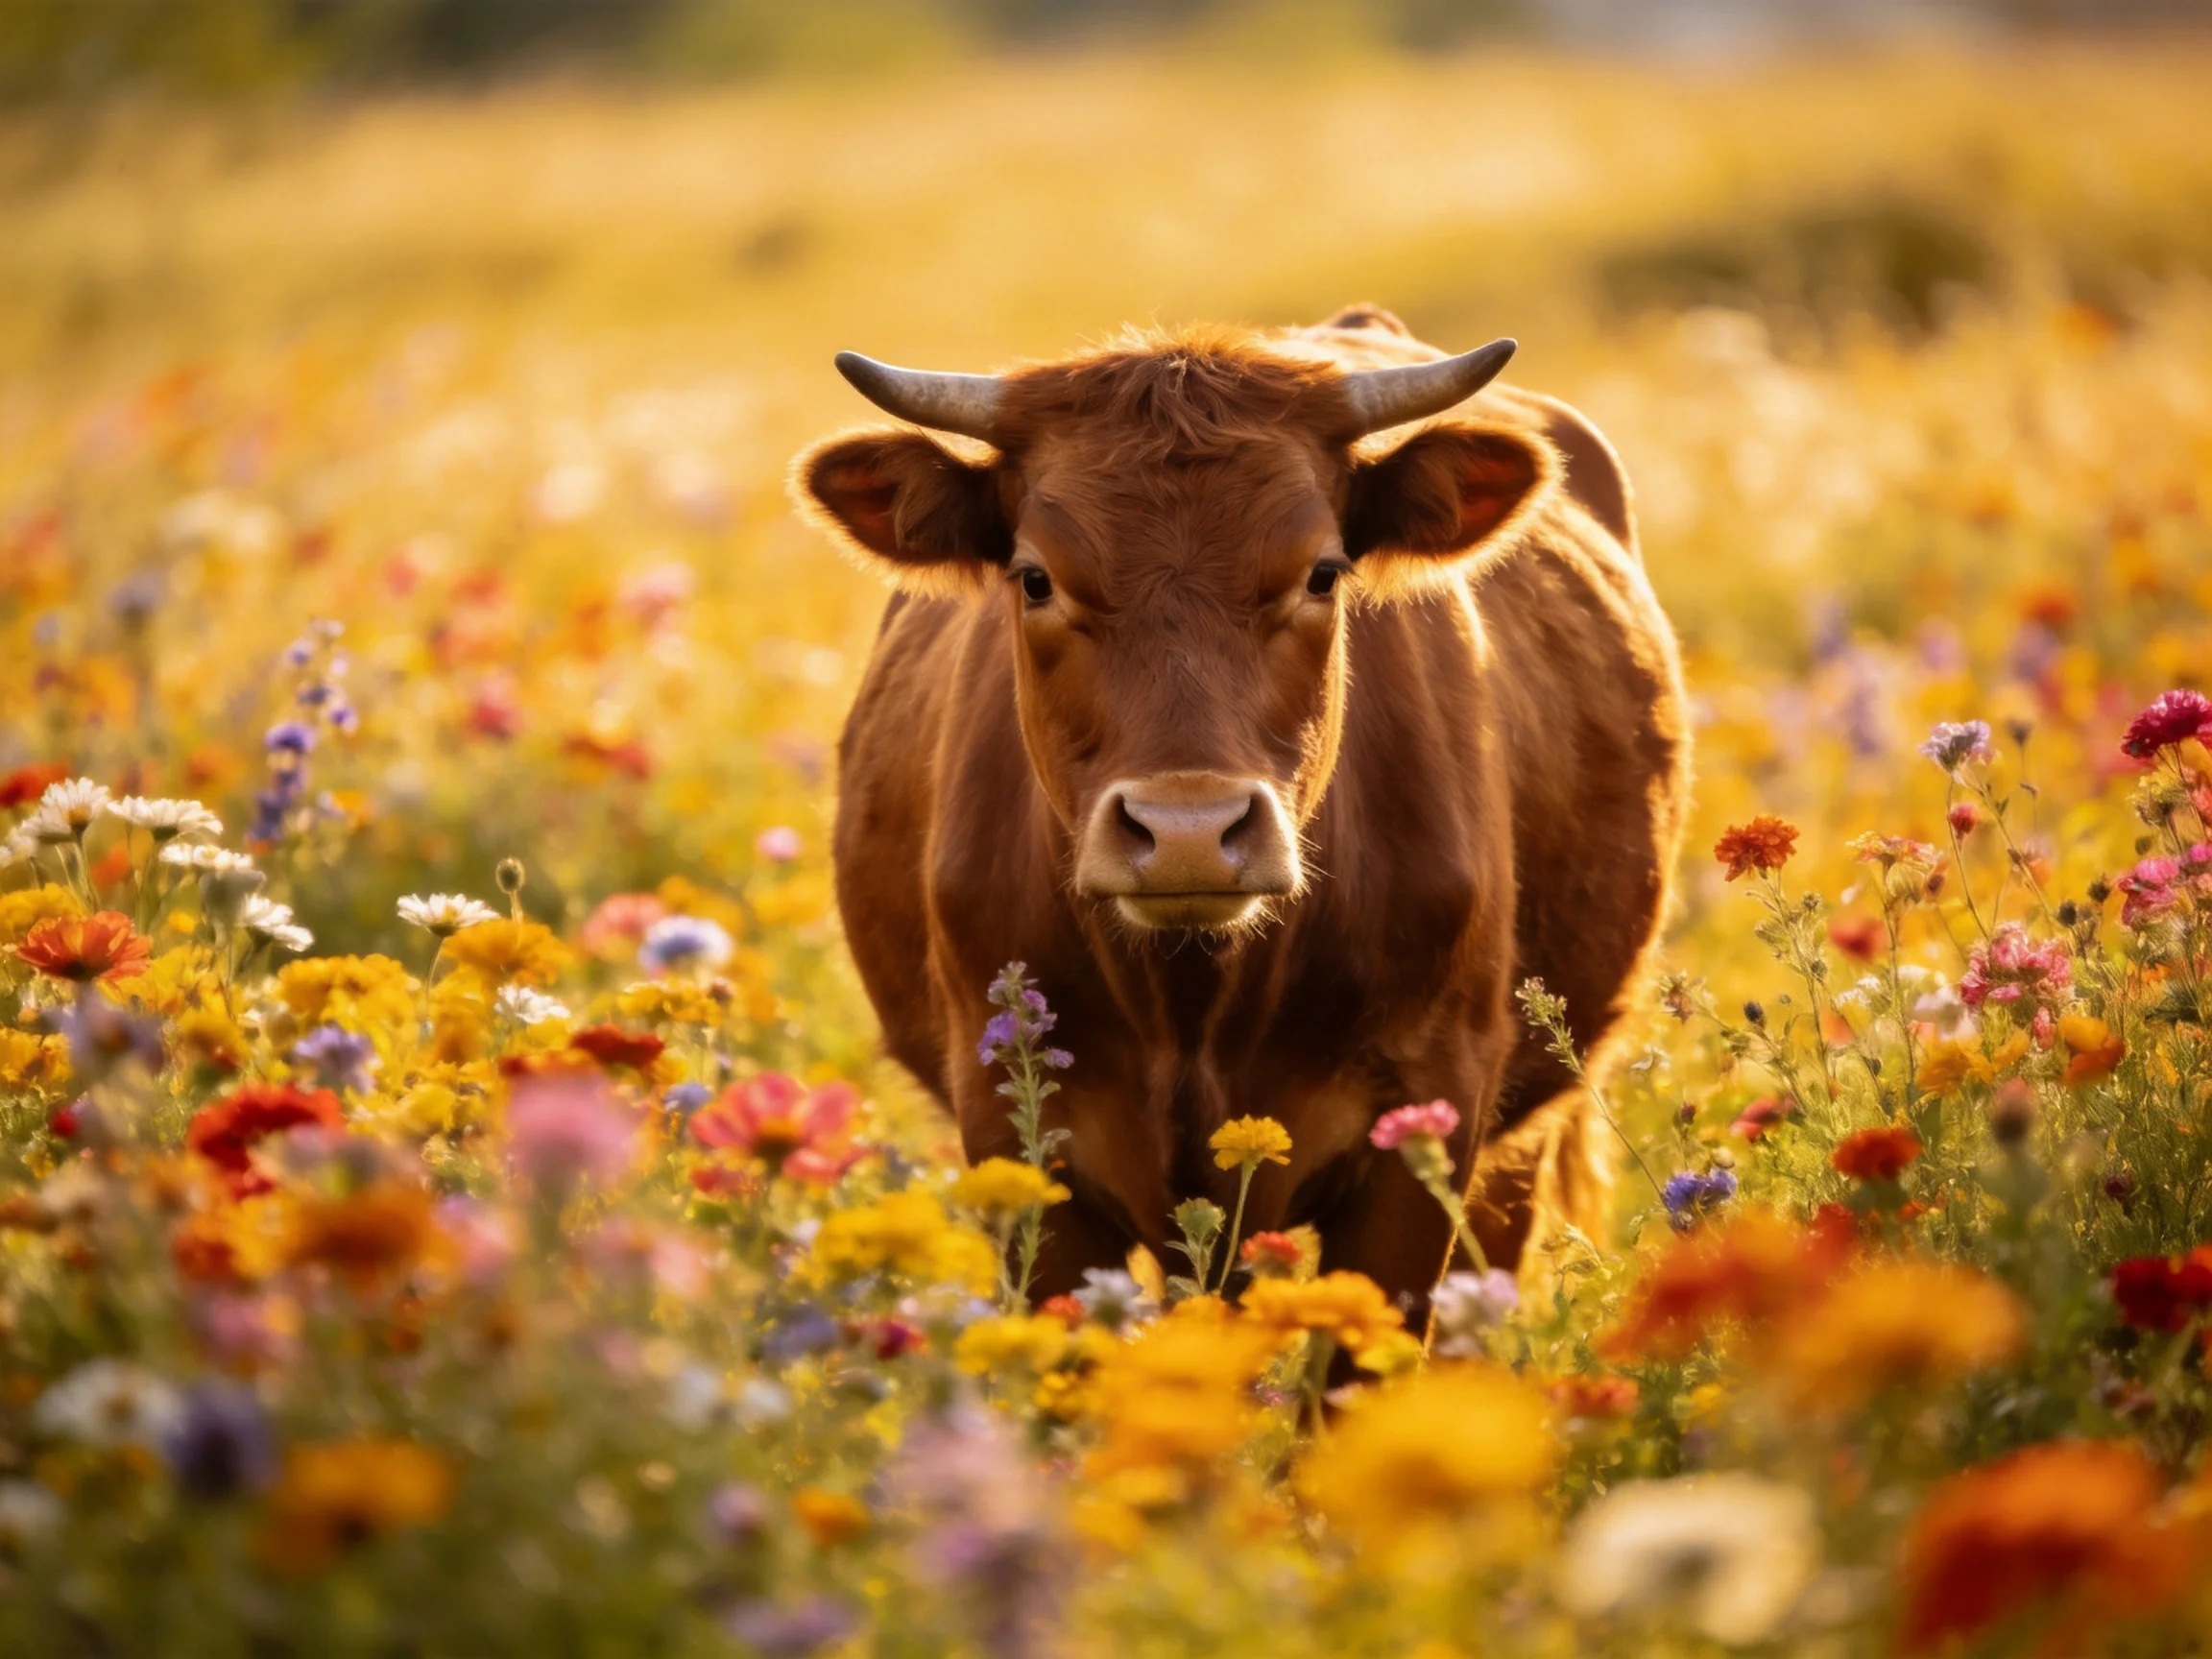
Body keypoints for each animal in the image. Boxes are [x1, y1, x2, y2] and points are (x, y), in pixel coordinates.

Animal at [794, 305, 1688, 1319]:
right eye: (1034, 578)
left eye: (1323, 573)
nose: (1187, 833)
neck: (1192, 1005)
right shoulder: (1016, 1138)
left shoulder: (1427, 1128)